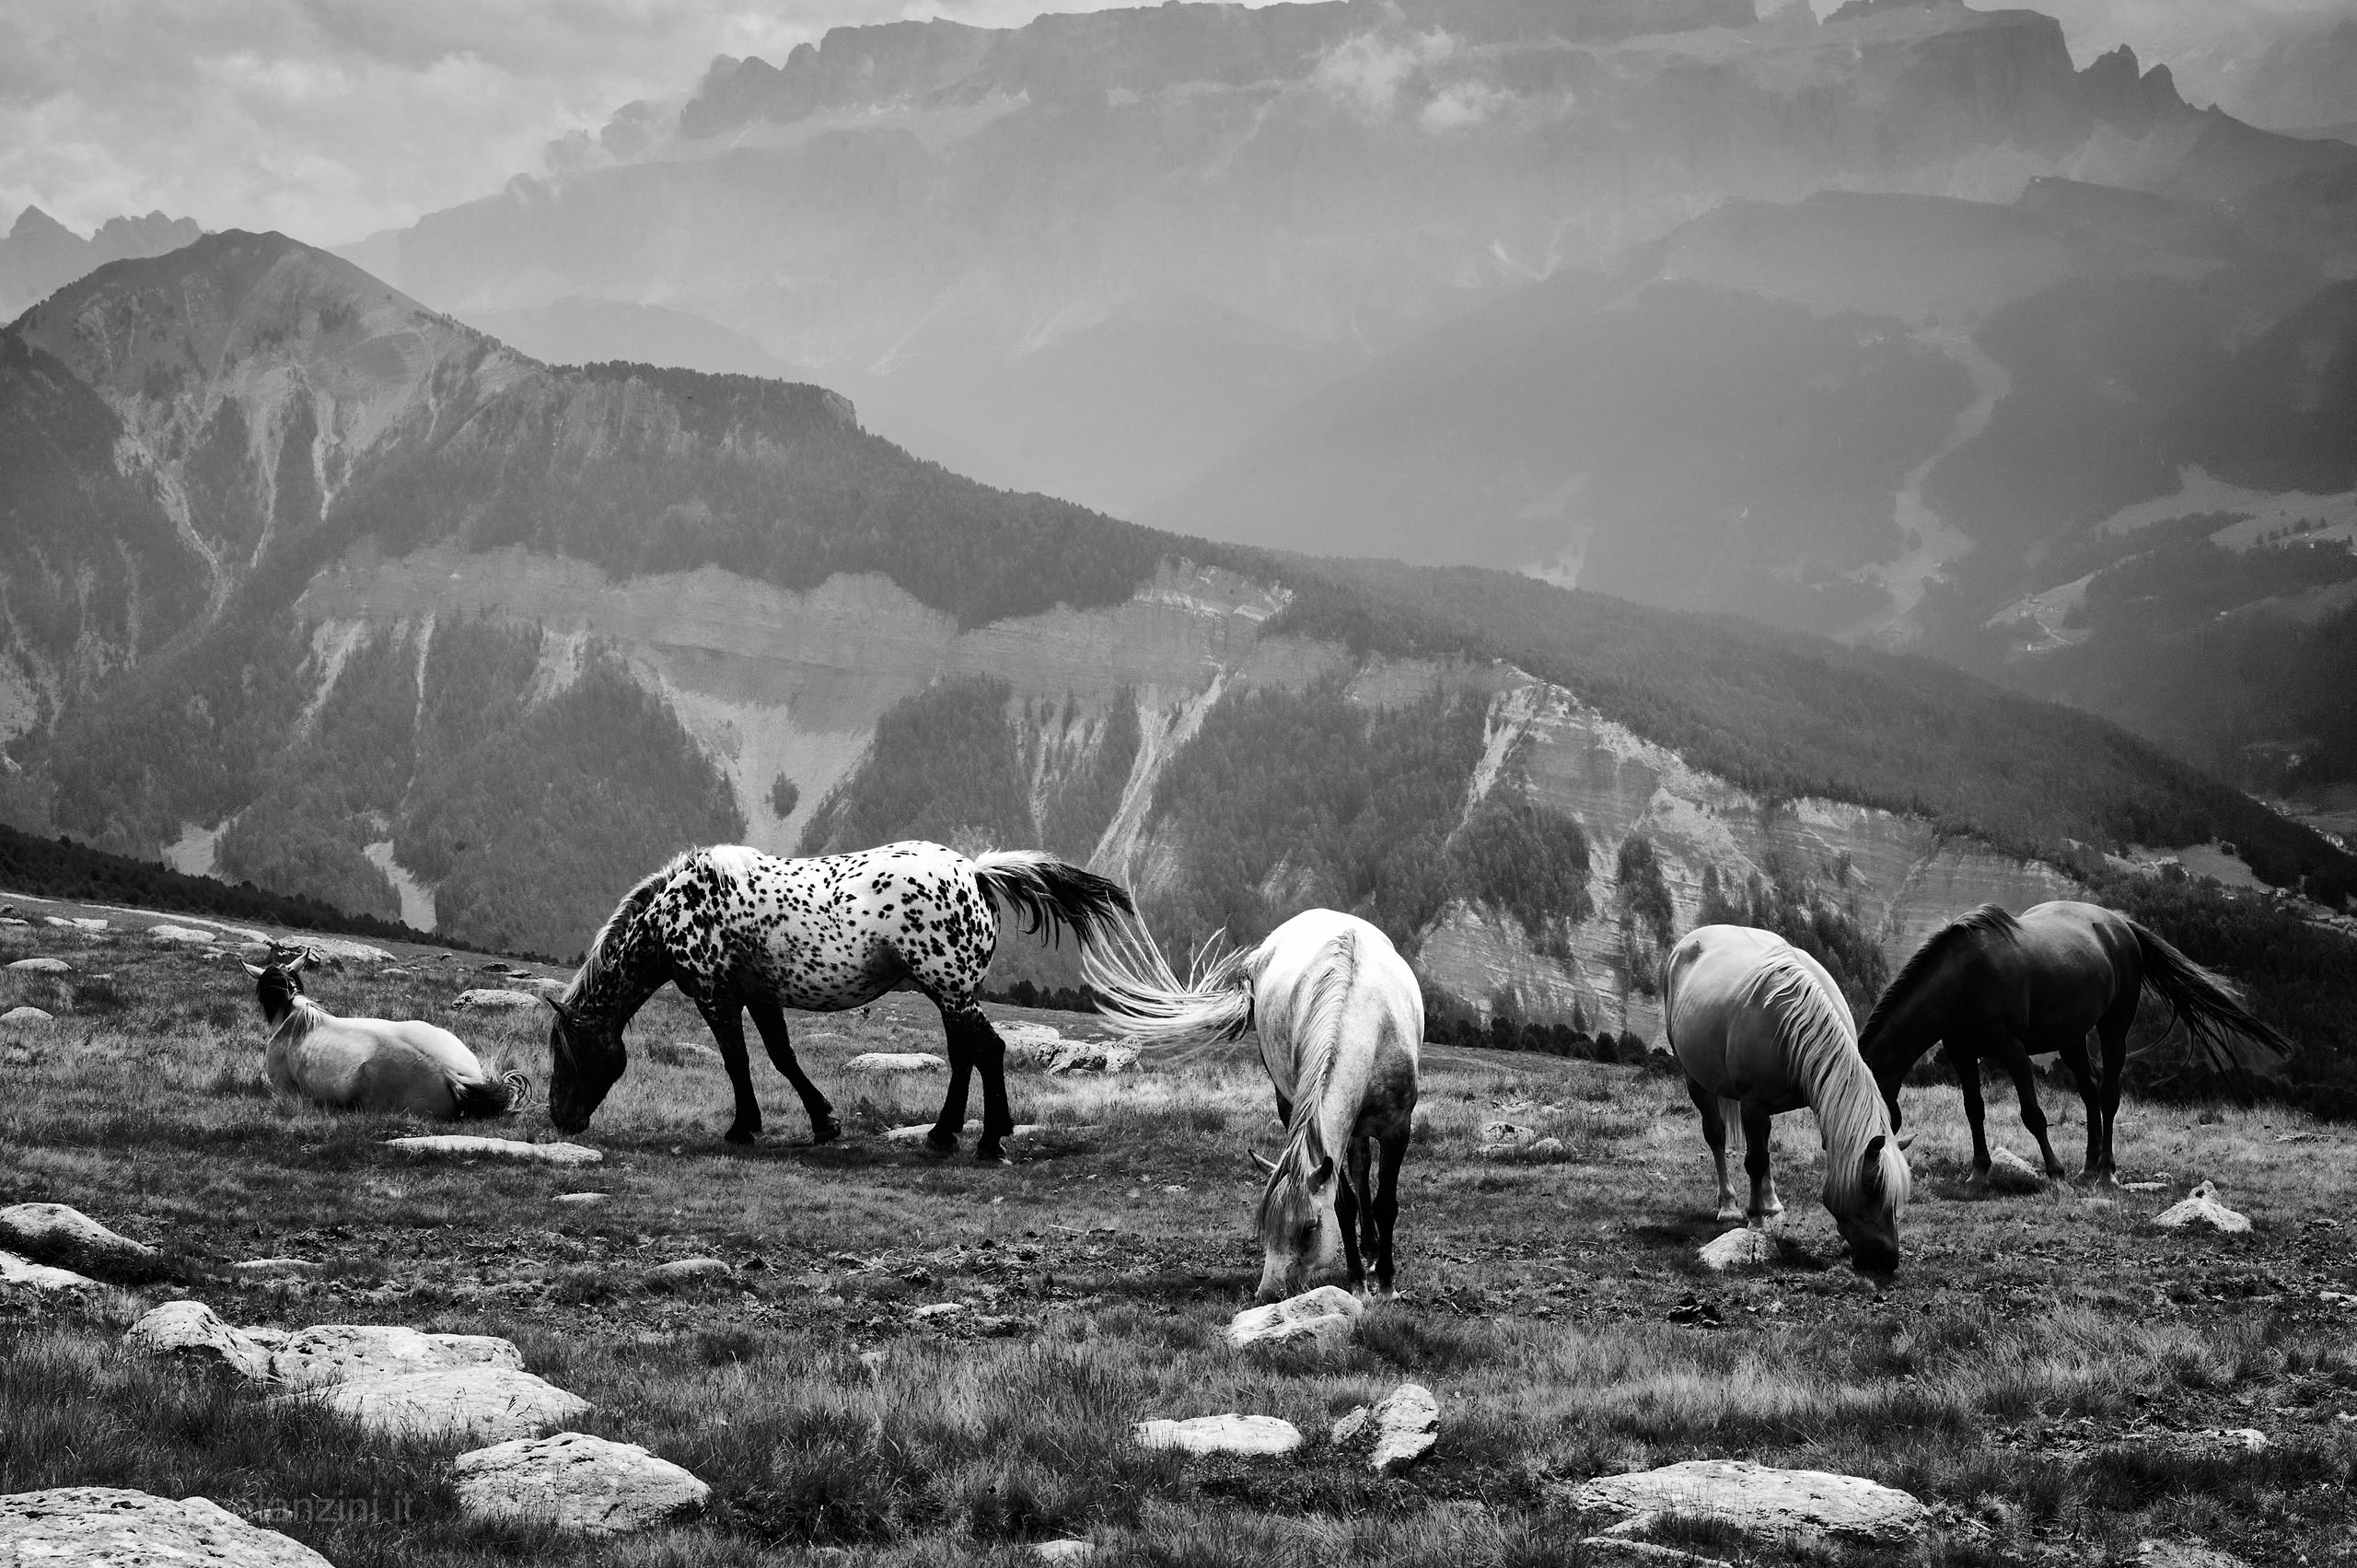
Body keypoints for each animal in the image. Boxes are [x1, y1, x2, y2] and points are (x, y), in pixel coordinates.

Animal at [553, 843, 1141, 1159]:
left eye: (569, 1055)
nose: (561, 1120)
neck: (682, 906)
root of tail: (974, 871)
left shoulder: (715, 998)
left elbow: (737, 1061)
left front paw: (743, 1128)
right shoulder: (760, 997)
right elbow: (782, 1056)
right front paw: (823, 1123)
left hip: (952, 991)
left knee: (988, 1052)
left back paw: (990, 1142)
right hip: (950, 995)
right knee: (964, 1057)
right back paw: (943, 1135)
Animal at [1084, 905, 1414, 1292]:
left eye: (1310, 1228)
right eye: (1266, 1229)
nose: (1267, 1293)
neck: (1366, 1025)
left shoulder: (1398, 1129)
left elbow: (1385, 1204)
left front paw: (1386, 1285)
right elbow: (1343, 1203)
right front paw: (1358, 1281)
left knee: (1362, 1169)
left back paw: (1375, 1253)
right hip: (1295, 1105)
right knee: (1358, 1166)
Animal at [1659, 928, 1913, 1272]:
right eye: (1871, 1188)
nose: (1888, 1260)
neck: (1792, 1023)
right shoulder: (1752, 1103)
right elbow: (1754, 1160)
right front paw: (1754, 1221)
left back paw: (1773, 1206)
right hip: (1696, 1080)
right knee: (1717, 1136)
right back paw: (1729, 1205)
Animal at [1857, 900, 2282, 1179]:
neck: (1963, 979)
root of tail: (2121, 924)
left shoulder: (2013, 1050)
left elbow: (2032, 1113)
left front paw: (2055, 1169)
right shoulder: (1961, 1052)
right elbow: (1974, 1110)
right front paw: (1979, 1172)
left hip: (2113, 1029)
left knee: (2108, 1096)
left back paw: (2106, 1170)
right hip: (2072, 1038)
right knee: (2090, 1092)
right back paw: (2089, 1166)